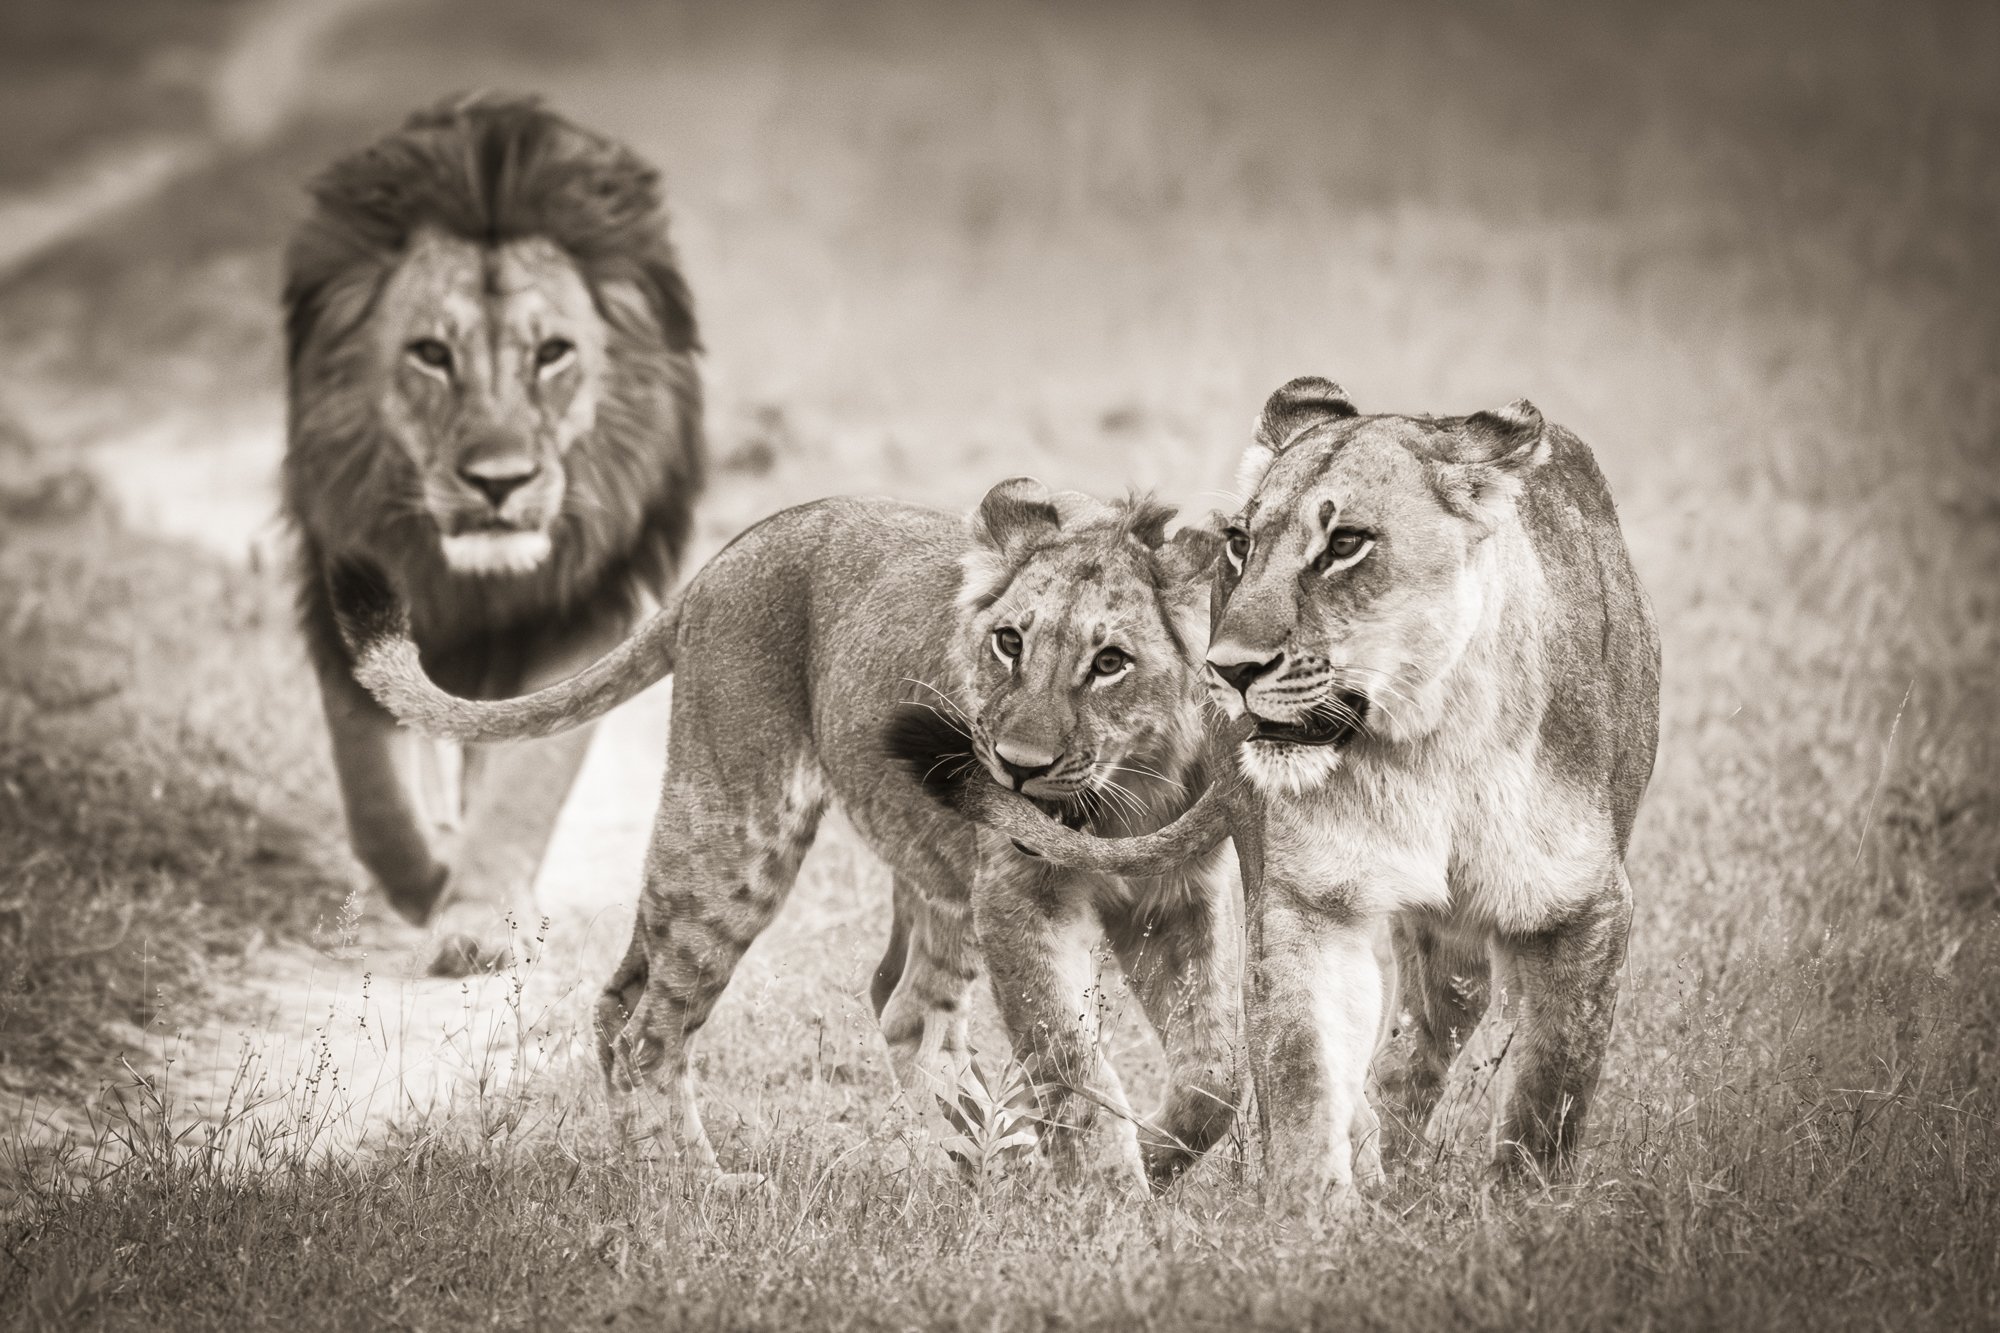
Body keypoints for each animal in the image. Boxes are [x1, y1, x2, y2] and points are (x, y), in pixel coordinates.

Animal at [281, 94, 704, 976]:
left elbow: (523, 783)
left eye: (552, 354)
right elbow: (371, 784)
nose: (499, 481)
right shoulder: (339, 581)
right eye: (431, 354)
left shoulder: (582, 610)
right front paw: (424, 880)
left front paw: (477, 917)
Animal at [330, 482, 1240, 1191]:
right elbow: (1069, 1059)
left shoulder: (1175, 899)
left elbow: (1214, 1074)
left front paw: (1150, 1160)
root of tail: (724, 559)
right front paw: (1115, 1201)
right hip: (737, 838)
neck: (1129, 791)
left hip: (924, 866)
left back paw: (995, 1163)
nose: (1015, 769)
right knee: (645, 1029)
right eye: (1009, 642)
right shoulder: (1021, 897)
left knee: (892, 1007)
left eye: (1111, 662)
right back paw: (692, 1186)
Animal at [931, 378, 1661, 1201]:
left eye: (1346, 545)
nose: (1228, 668)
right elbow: (1305, 1070)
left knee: (1434, 1023)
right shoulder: (1306, 899)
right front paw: (1317, 1213)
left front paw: (1524, 1207)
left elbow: (1550, 1093)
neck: (1428, 747)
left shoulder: (1586, 907)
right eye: (1240, 544)